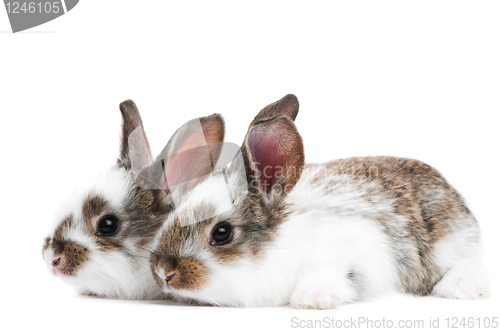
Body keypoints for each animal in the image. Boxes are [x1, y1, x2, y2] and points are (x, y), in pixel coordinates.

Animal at [149, 94, 492, 310]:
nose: (164, 272)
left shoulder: (361, 246)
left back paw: (461, 287)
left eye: (222, 233)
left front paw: (314, 298)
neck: (279, 249)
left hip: (453, 243)